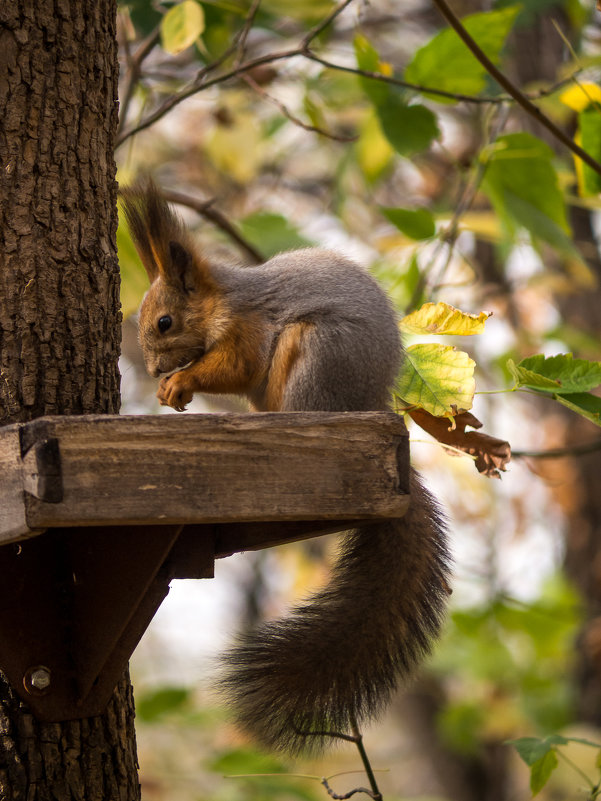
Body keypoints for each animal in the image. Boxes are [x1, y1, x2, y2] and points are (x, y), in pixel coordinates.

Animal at [122, 183, 450, 756]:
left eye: (164, 322)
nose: (155, 369)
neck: (222, 302)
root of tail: (367, 407)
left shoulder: (250, 328)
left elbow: (237, 366)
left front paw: (181, 383)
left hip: (315, 351)